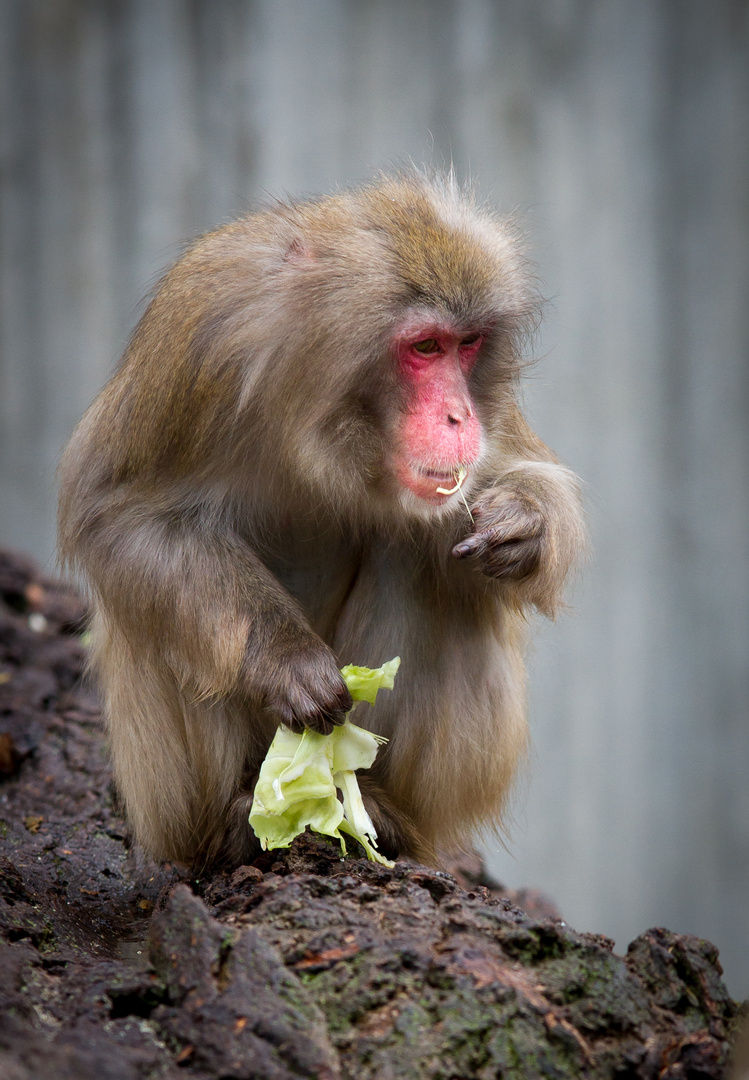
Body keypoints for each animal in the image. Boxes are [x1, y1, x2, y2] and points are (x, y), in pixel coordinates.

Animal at [58, 172, 587, 872]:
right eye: (426, 346)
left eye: (468, 344)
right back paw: (232, 828)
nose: (459, 416)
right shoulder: (200, 335)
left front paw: (525, 523)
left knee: (420, 554)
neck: (320, 409)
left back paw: (382, 815)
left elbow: (519, 471)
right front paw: (288, 660)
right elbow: (117, 514)